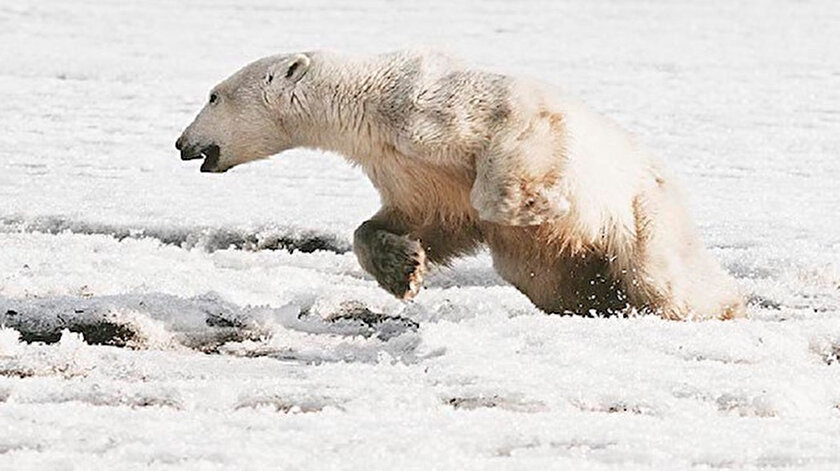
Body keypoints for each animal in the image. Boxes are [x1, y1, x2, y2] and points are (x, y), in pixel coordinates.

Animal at [176, 49, 740, 320]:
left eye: (213, 95)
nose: (182, 143)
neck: (368, 104)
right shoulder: (404, 164)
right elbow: (420, 219)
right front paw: (403, 272)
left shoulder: (445, 111)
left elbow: (510, 144)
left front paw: (531, 205)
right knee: (548, 277)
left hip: (643, 211)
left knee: (662, 276)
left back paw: (714, 306)